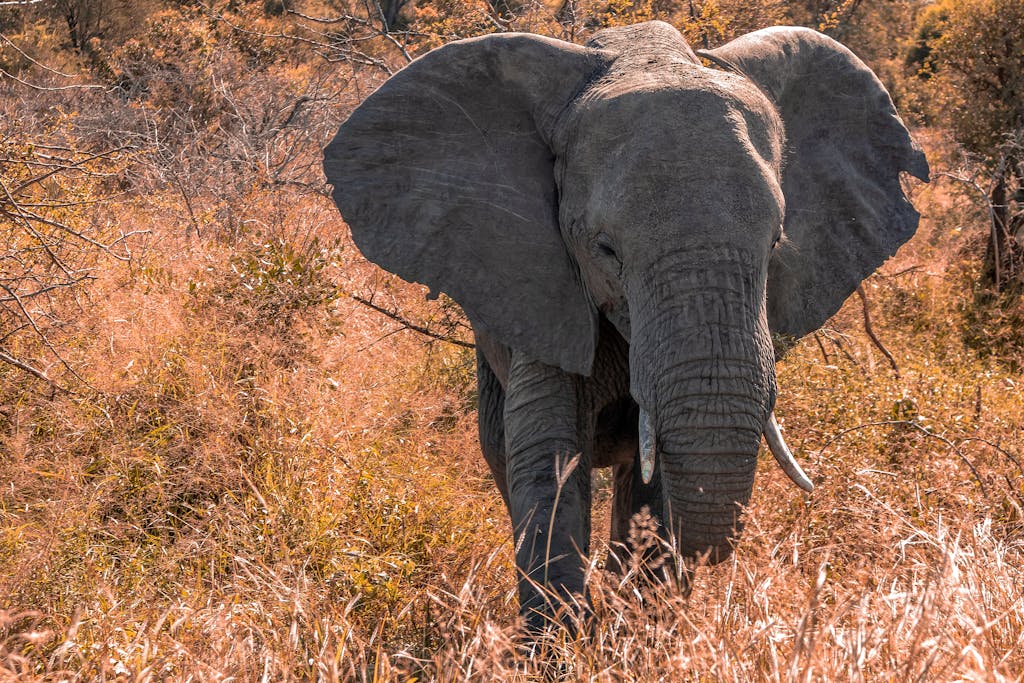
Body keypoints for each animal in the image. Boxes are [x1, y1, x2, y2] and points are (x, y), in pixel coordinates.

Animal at [323, 21, 928, 629]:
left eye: (777, 241)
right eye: (605, 249)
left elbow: (652, 478)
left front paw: (640, 627)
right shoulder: (541, 286)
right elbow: (549, 456)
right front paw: (561, 639)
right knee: (501, 447)